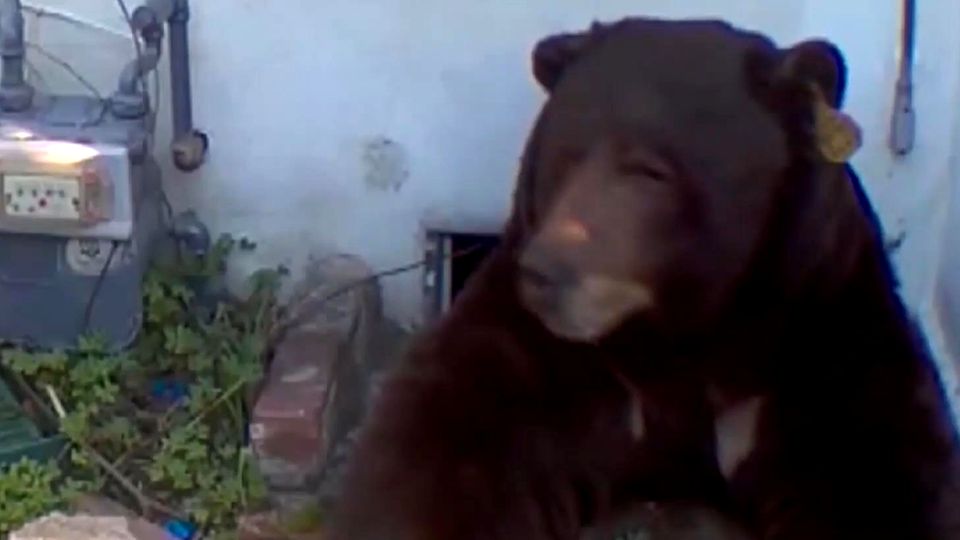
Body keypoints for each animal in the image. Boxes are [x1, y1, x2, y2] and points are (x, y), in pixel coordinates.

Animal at [329, 16, 960, 540]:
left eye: (650, 170)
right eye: (564, 154)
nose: (547, 271)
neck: (683, 331)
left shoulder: (819, 324)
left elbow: (882, 475)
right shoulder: (548, 355)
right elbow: (438, 445)